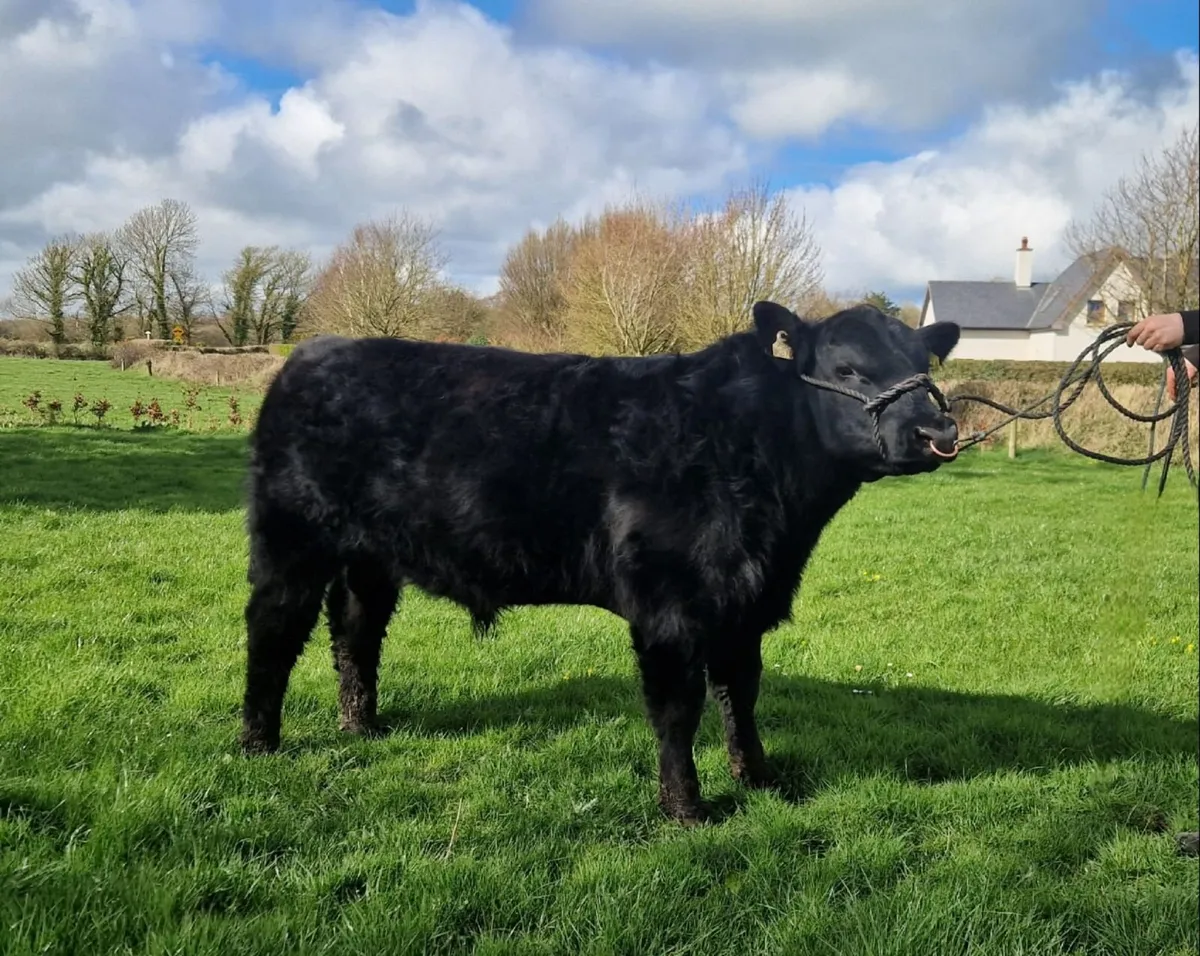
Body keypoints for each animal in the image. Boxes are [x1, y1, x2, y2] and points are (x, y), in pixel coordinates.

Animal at [239, 300, 961, 824]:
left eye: (925, 365)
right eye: (847, 370)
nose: (938, 432)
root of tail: (315, 352)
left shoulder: (744, 605)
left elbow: (741, 694)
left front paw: (759, 778)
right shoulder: (669, 606)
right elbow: (677, 709)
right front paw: (687, 808)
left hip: (369, 559)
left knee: (355, 634)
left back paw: (362, 727)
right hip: (291, 540)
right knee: (274, 631)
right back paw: (258, 743)